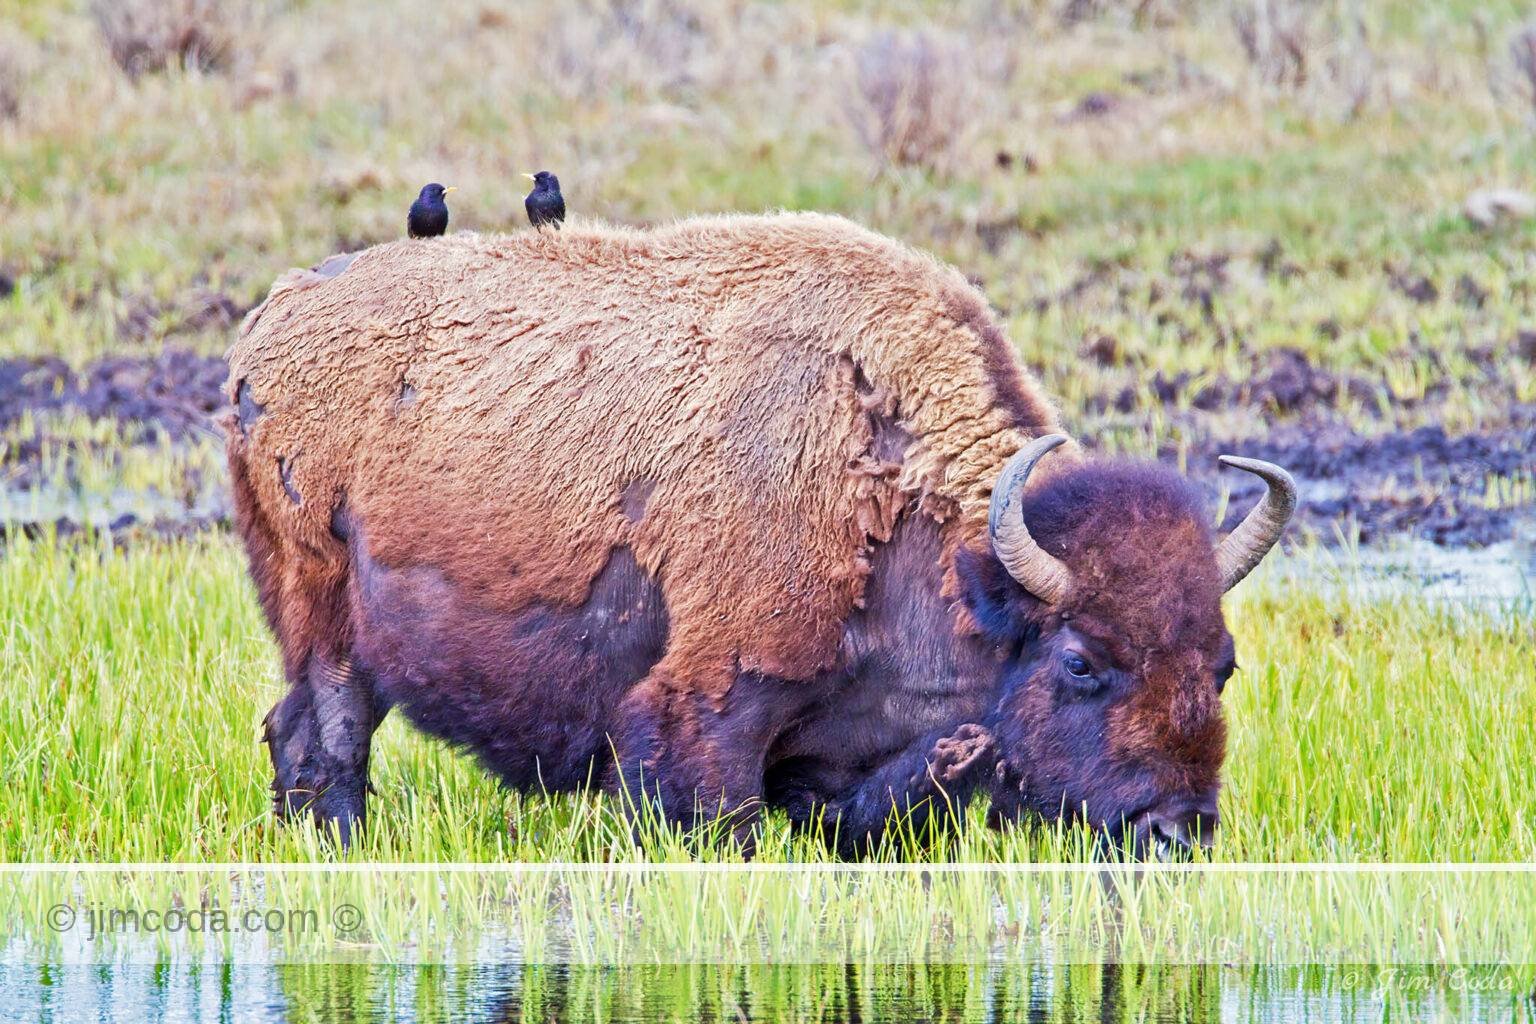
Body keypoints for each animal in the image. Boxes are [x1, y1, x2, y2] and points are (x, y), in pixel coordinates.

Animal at [223, 213, 1293, 857]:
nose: (1180, 832)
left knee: (294, 728)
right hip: (324, 611)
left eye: (1224, 664)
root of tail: (271, 322)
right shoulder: (709, 707)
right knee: (328, 733)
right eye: (1080, 661)